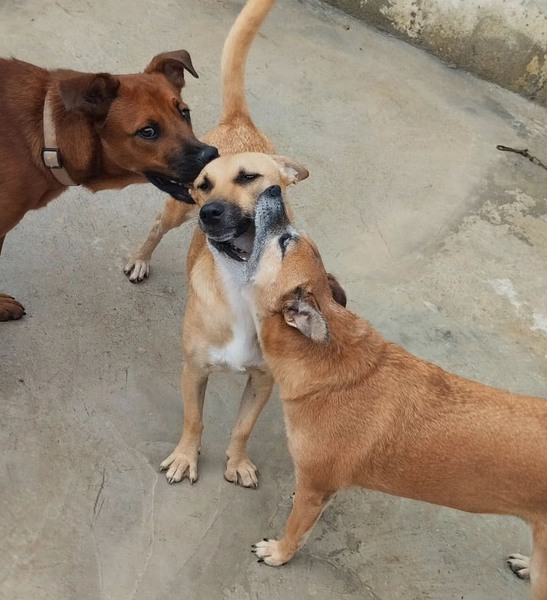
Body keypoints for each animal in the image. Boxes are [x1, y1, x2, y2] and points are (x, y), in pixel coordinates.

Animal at [246, 186, 547, 599]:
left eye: (285, 241)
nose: (273, 188)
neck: (325, 358)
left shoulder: (314, 487)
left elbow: (295, 529)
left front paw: (278, 552)